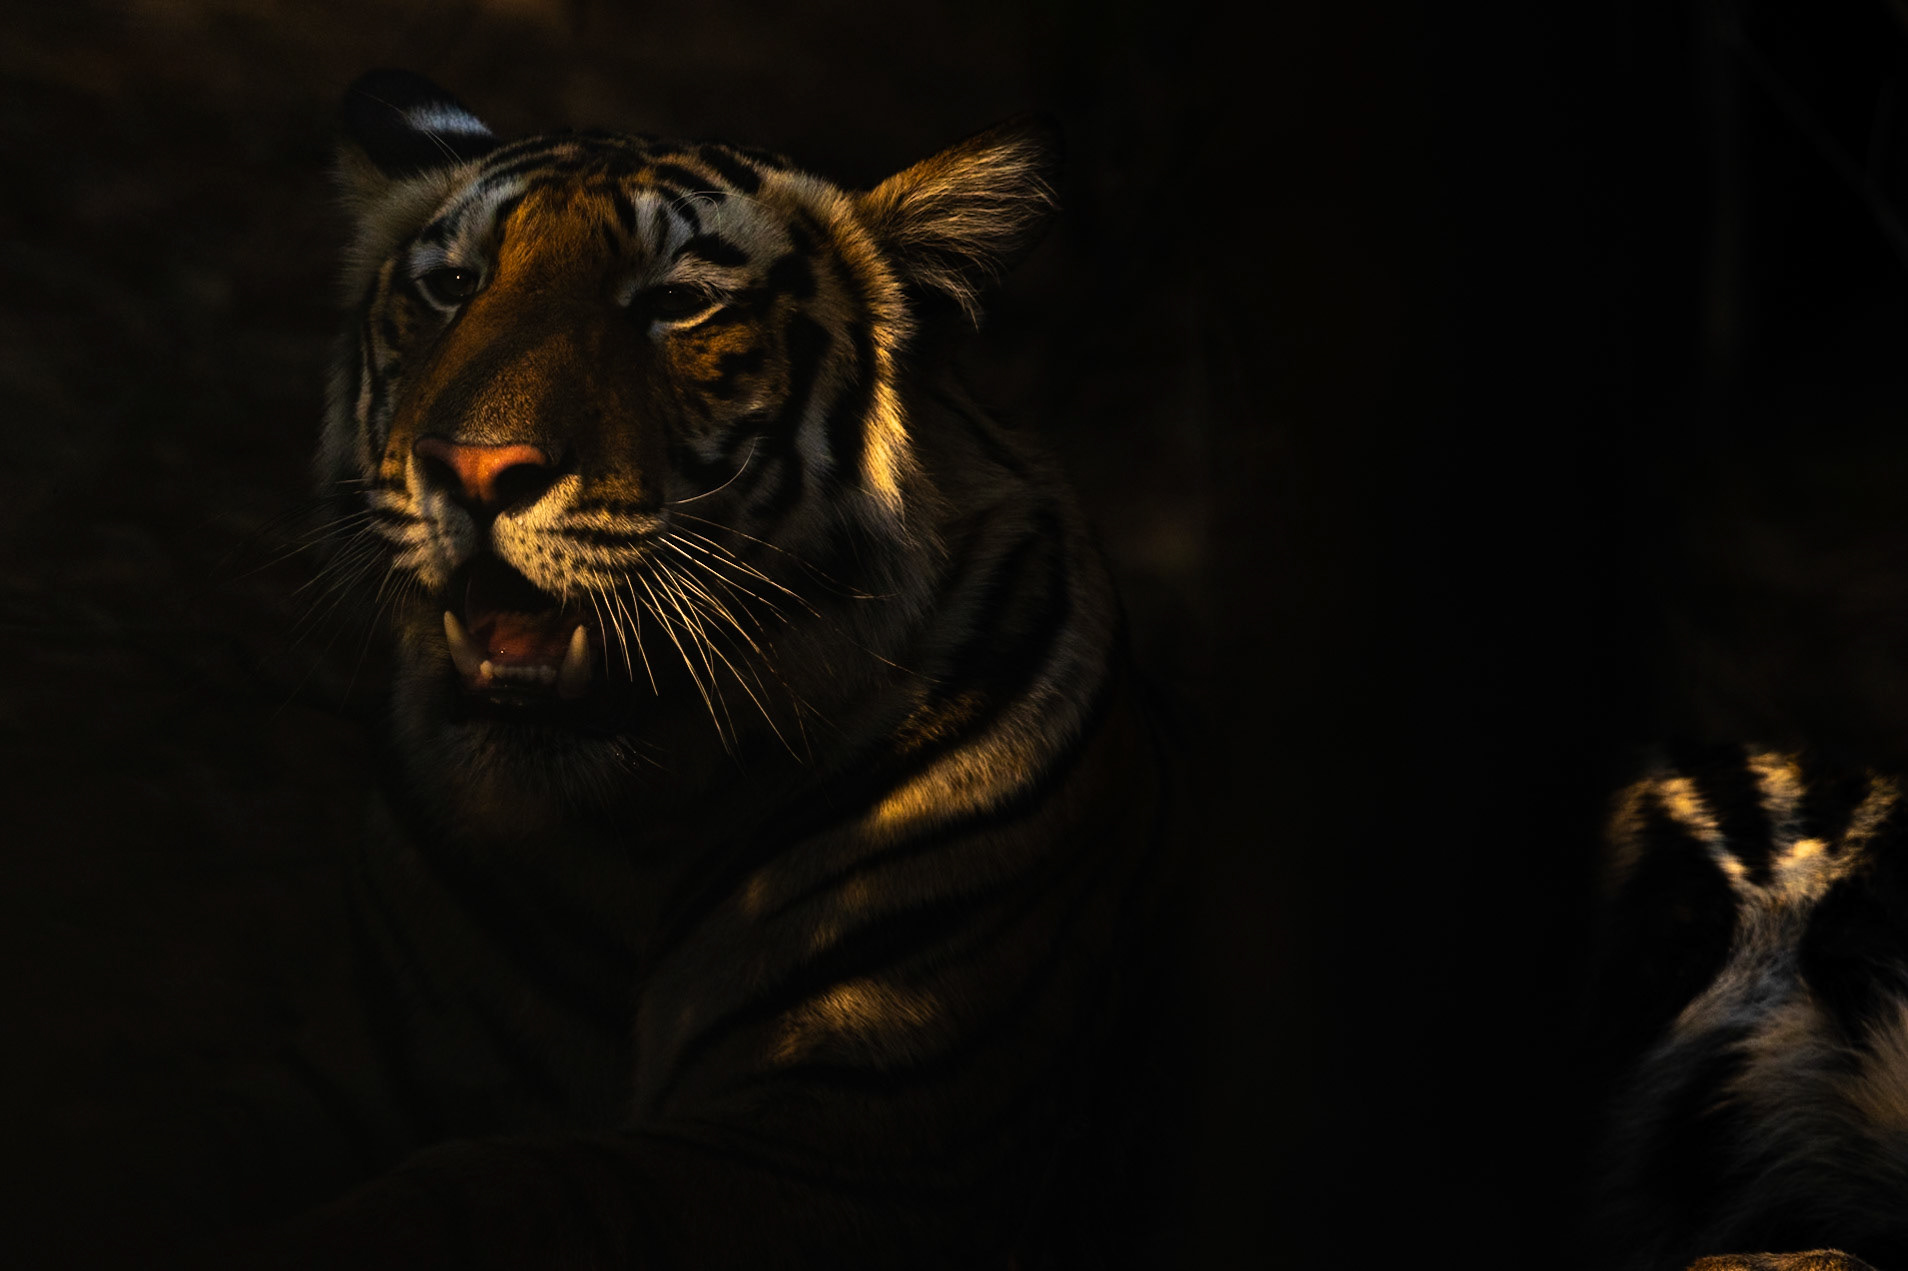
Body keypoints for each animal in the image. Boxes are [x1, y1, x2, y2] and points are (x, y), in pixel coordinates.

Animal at [208, 69, 1167, 1267]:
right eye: (453, 286)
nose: (473, 469)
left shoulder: (857, 1132)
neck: (623, 828)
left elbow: (500, 1187)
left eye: (674, 303)